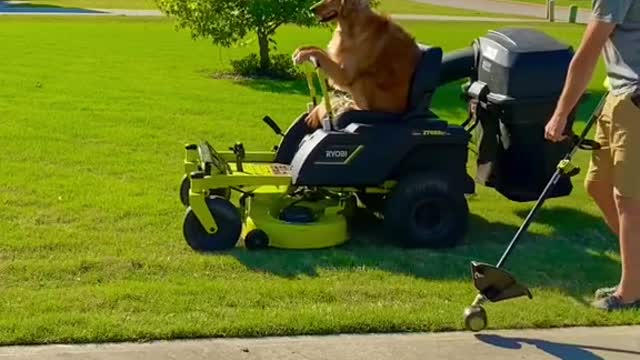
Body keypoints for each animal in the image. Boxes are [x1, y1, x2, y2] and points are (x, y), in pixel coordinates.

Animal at [292, 0, 422, 129]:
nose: (311, 9)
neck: (352, 23)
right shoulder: (338, 58)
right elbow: (318, 49)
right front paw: (300, 50)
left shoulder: (345, 74)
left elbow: (320, 54)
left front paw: (302, 54)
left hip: (363, 80)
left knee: (364, 108)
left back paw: (347, 108)